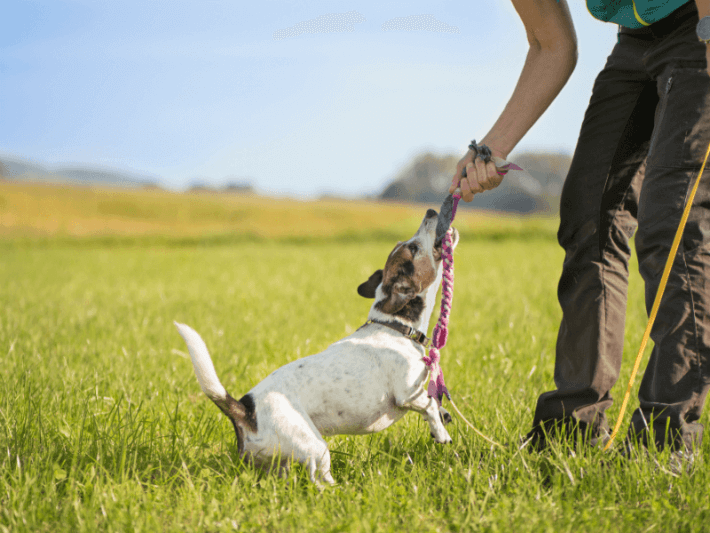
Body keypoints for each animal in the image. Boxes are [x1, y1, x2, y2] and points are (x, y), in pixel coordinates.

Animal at [175, 209, 458, 486]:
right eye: (413, 247)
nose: (431, 211)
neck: (395, 326)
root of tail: (246, 410)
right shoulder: (407, 394)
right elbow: (429, 405)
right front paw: (441, 432)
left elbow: (435, 401)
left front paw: (443, 416)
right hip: (315, 447)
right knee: (319, 481)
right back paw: (341, 490)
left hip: (278, 461)